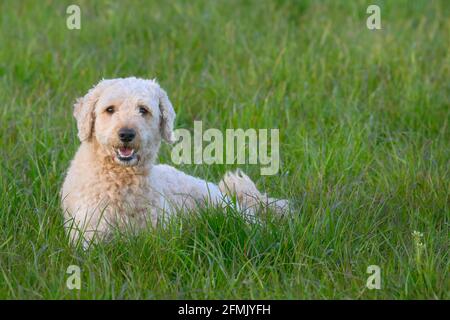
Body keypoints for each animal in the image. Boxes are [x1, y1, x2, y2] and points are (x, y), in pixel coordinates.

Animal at [60, 76, 288, 246]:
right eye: (110, 109)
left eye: (143, 110)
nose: (126, 134)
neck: (120, 181)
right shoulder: (89, 236)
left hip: (222, 206)